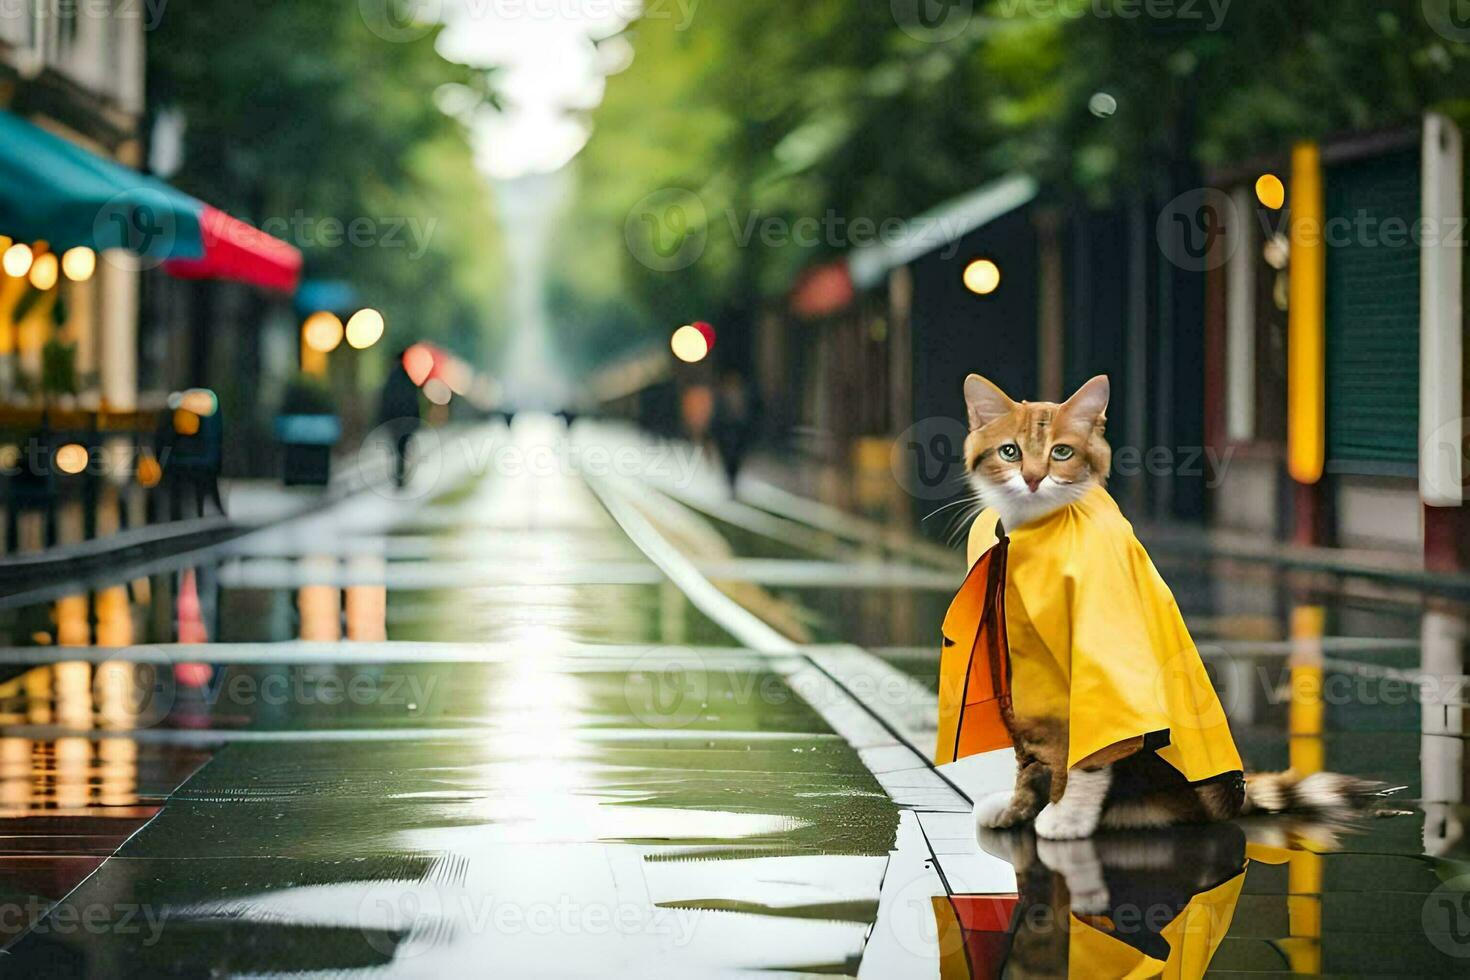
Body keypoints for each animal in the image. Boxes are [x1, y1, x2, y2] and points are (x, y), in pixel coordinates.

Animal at [958, 371, 1381, 840]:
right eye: (1010, 452)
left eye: (1061, 452)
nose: (1033, 479)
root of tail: (1232, 799)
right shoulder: (1014, 674)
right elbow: (1029, 755)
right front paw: (1019, 807)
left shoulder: (1099, 670)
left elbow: (1090, 753)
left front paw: (1068, 816)